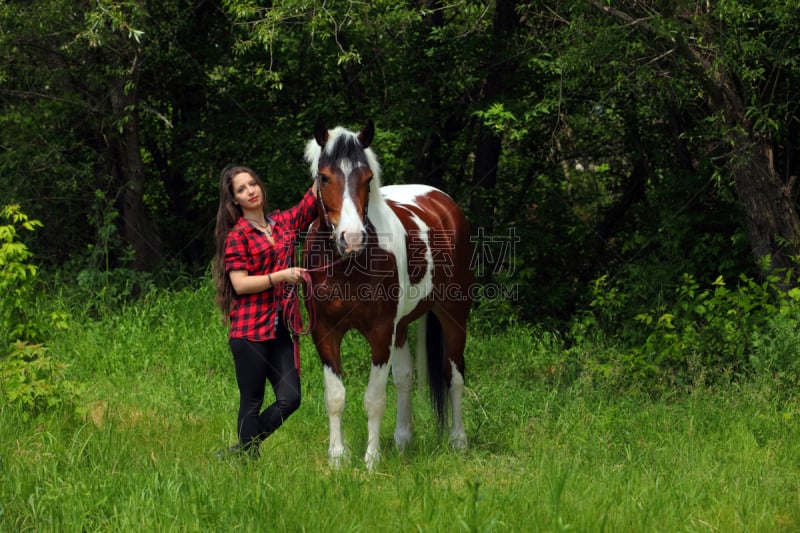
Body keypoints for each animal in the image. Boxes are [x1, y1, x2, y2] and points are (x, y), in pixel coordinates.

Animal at [300, 118, 476, 468]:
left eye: (367, 179)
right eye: (324, 177)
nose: (352, 238)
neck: (347, 267)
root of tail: (444, 203)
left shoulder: (380, 332)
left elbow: (374, 399)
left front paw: (371, 460)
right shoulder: (325, 332)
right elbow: (335, 397)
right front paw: (337, 458)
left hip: (453, 313)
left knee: (454, 375)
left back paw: (458, 441)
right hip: (403, 325)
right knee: (405, 378)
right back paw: (403, 441)